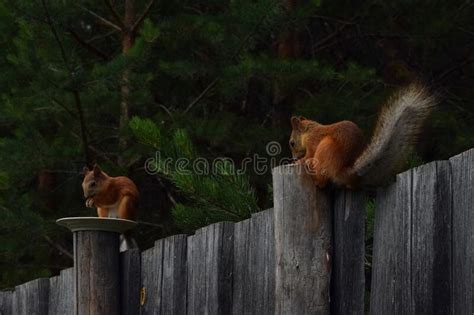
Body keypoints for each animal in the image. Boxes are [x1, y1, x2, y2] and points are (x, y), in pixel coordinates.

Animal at [290, 82, 438, 189]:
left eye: (292, 143)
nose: (293, 158)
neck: (309, 130)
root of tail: (346, 172)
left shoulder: (313, 142)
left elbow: (309, 154)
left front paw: (300, 161)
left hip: (326, 148)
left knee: (322, 177)